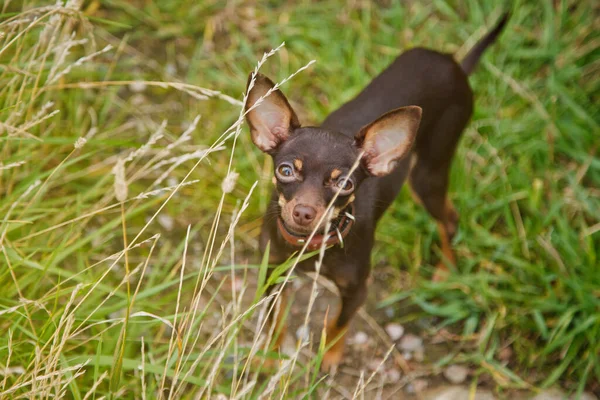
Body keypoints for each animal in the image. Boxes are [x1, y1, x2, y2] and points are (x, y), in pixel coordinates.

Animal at [243, 12, 506, 372]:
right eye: (285, 171)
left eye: (345, 184)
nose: (304, 212)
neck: (309, 248)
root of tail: (456, 64)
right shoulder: (272, 277)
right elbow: (275, 322)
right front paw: (269, 360)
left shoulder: (357, 290)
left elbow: (339, 323)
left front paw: (329, 357)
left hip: (429, 173)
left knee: (450, 219)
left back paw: (444, 271)